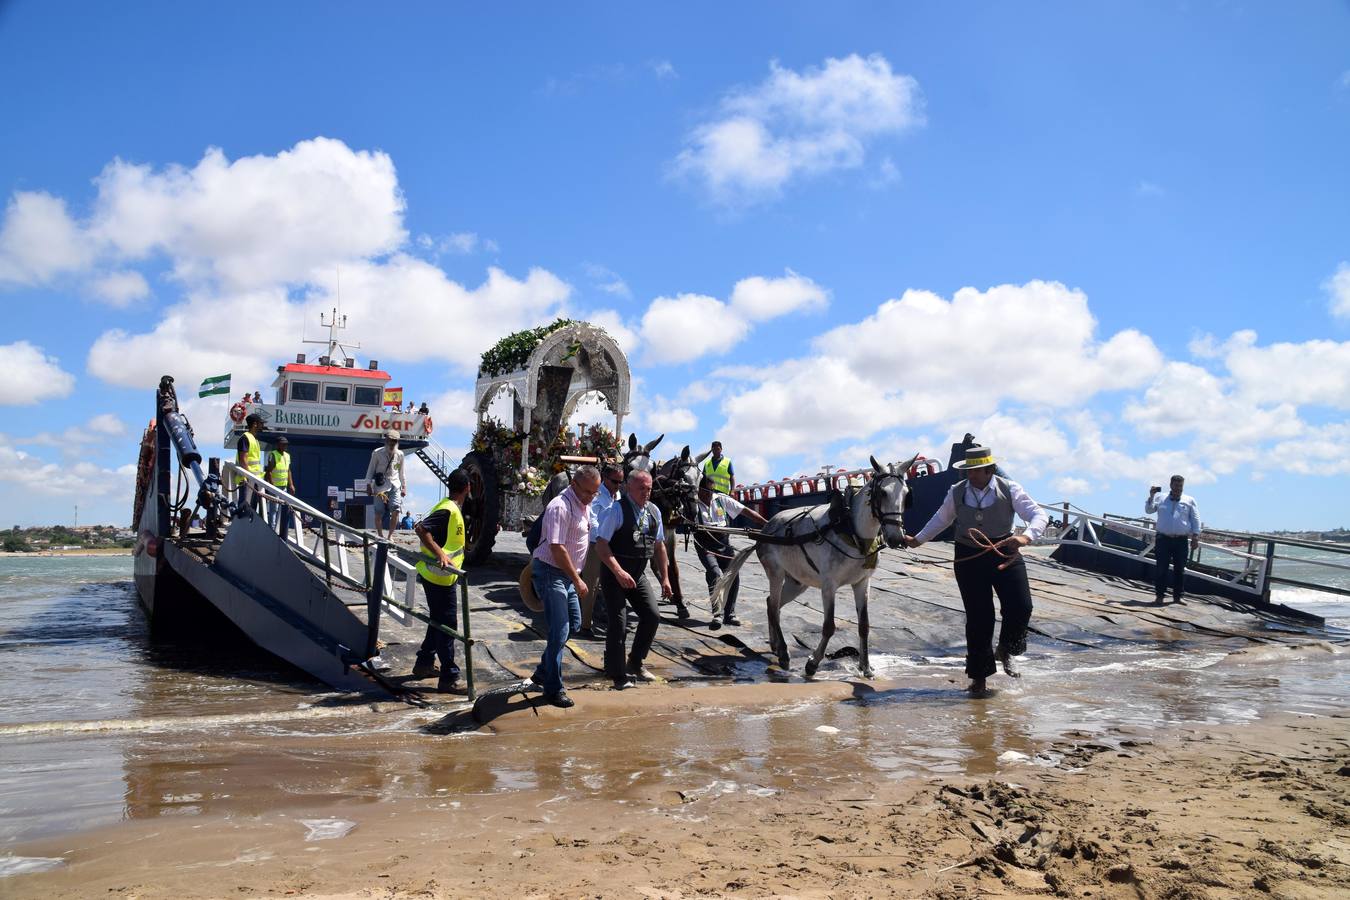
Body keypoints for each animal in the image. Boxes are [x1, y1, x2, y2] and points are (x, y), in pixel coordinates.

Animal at [707, 453, 918, 680]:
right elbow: (829, 626)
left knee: (772, 604)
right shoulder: (829, 585)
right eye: (882, 493)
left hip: (797, 582)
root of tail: (764, 530)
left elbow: (864, 626)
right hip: (776, 573)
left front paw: (866, 667)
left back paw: (775, 645)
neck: (851, 530)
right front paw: (812, 664)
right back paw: (784, 654)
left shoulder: (862, 583)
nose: (897, 538)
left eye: (906, 494)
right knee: (773, 607)